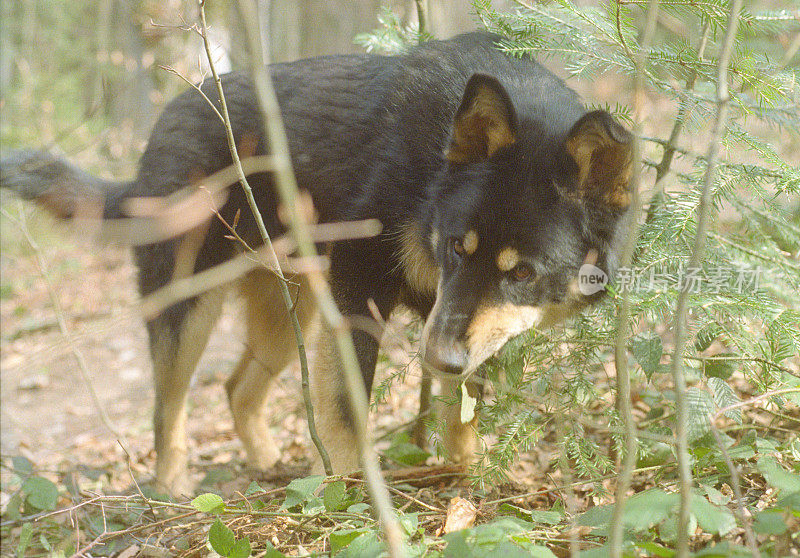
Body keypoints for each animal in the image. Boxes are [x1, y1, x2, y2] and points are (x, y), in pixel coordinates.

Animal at [0, 32, 632, 494]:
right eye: (456, 246)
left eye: (522, 273)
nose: (438, 359)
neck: (431, 169)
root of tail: (159, 131)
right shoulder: (360, 297)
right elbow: (347, 413)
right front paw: (351, 501)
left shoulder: (473, 330)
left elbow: (463, 413)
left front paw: (466, 478)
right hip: (191, 310)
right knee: (168, 410)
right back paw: (174, 489)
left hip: (291, 319)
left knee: (238, 390)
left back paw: (268, 465)